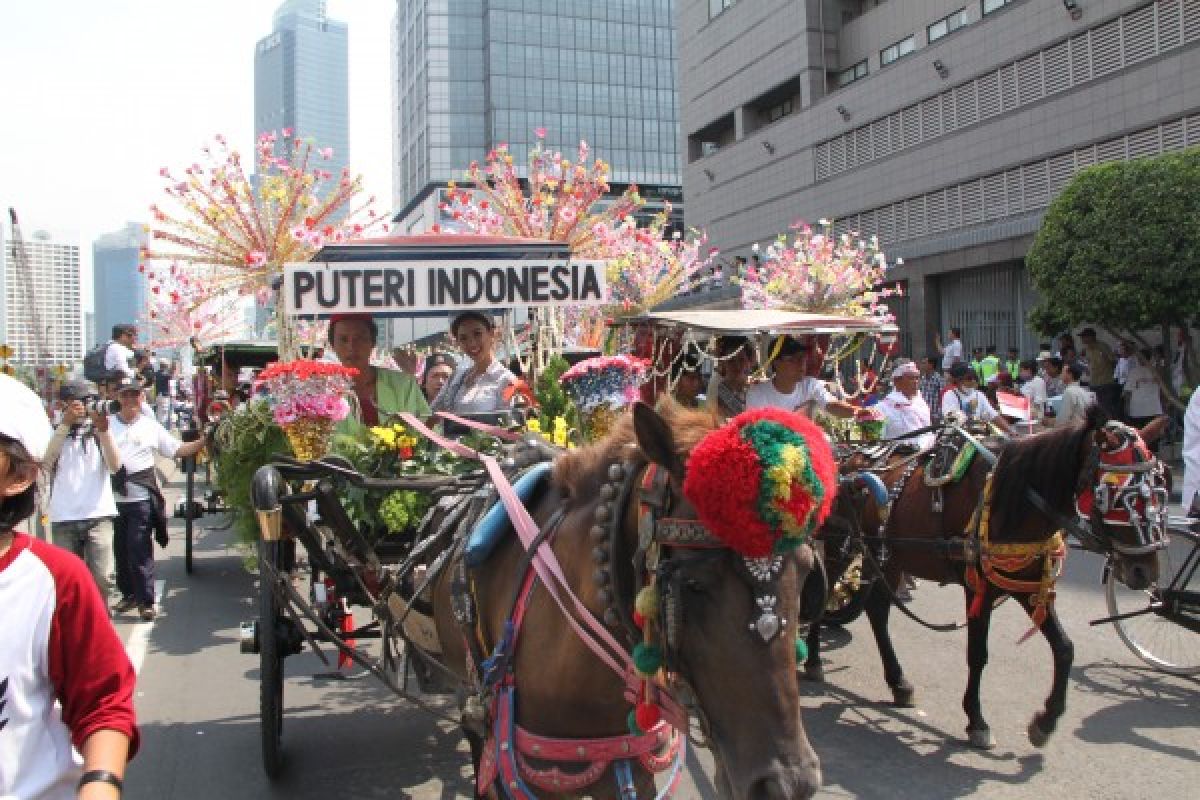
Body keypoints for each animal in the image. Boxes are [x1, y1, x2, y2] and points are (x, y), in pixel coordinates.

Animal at [806, 407, 1161, 753]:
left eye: (1159, 486)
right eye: (1116, 495)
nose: (1145, 572)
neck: (1014, 500)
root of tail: (847, 456)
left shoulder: (1028, 584)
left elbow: (1064, 648)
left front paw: (1045, 722)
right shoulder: (978, 588)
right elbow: (978, 654)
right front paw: (977, 721)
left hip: (887, 554)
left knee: (877, 610)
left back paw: (898, 682)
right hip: (838, 542)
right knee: (823, 593)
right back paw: (813, 661)